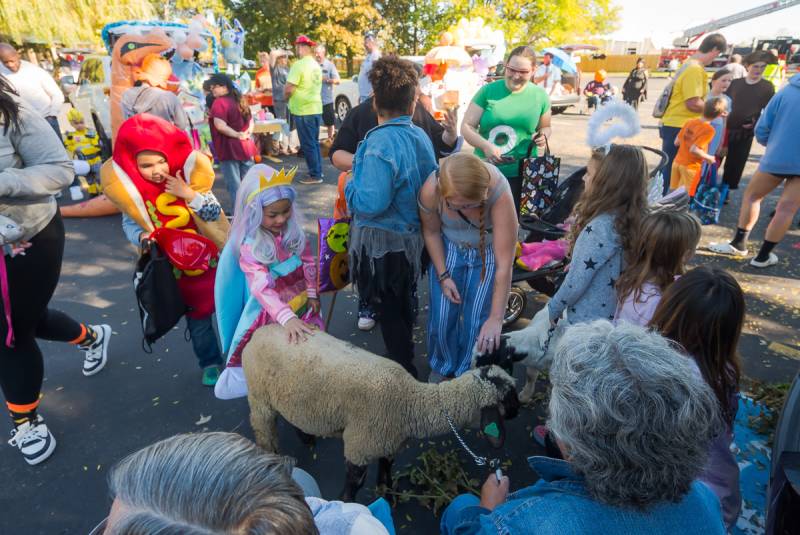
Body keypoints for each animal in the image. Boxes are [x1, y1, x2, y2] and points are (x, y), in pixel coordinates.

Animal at [242, 324, 520, 504]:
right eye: (508, 397)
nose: (518, 411)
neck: (409, 401)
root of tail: (259, 332)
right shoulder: (359, 447)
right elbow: (353, 487)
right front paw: (348, 503)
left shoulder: (388, 443)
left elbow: (386, 471)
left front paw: (388, 496)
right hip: (259, 397)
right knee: (264, 430)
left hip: (291, 395)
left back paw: (307, 437)